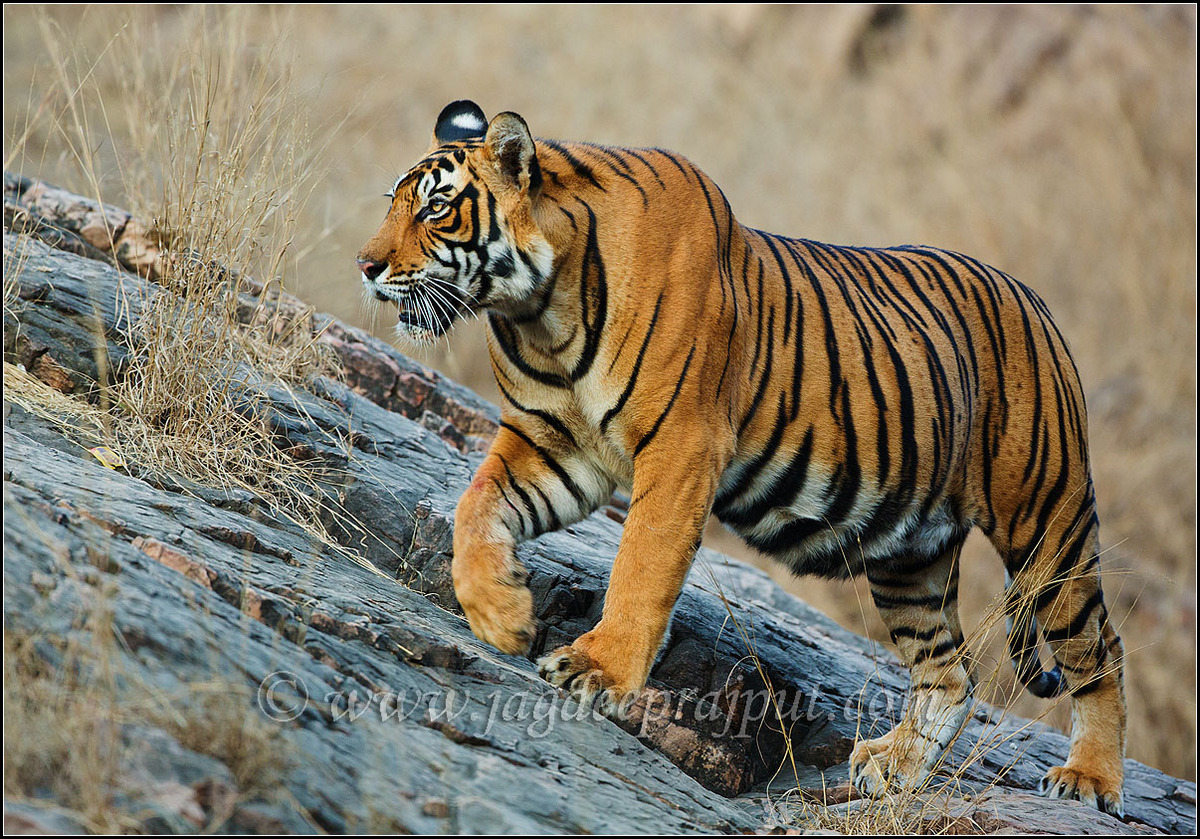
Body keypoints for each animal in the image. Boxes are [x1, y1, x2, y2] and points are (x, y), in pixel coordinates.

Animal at [356, 100, 1126, 816]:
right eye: (393, 202)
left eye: (437, 208)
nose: (366, 266)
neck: (542, 310)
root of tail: (1036, 301)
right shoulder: (554, 445)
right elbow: (476, 504)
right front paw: (501, 615)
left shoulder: (681, 446)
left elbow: (641, 564)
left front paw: (597, 668)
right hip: (910, 554)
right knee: (950, 674)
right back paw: (893, 768)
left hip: (1047, 526)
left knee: (1099, 651)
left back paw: (1089, 779)